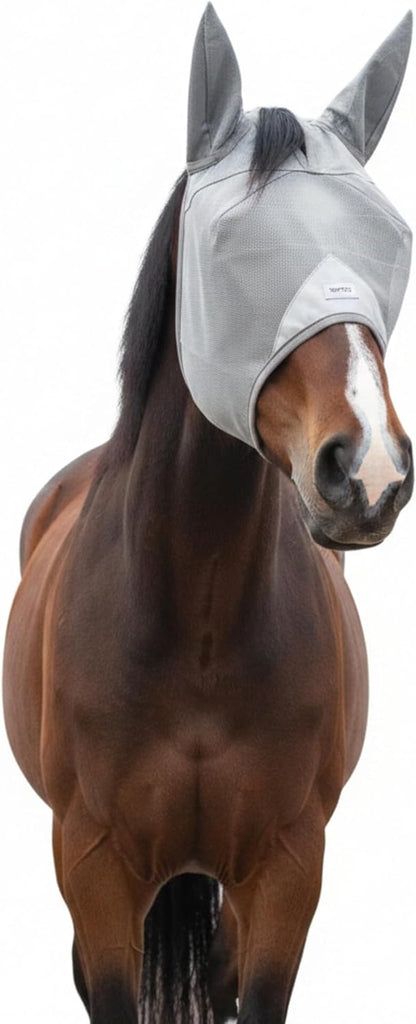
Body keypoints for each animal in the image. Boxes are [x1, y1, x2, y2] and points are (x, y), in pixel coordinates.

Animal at [3, 5, 414, 1023]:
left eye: (388, 240)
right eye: (233, 252)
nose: (368, 472)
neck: (195, 623)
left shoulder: (288, 872)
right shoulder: (94, 870)